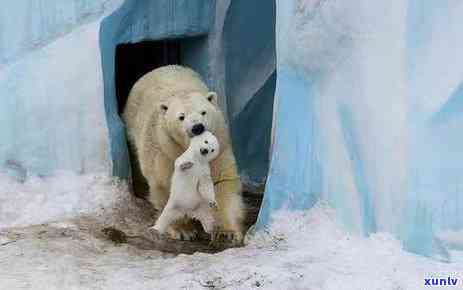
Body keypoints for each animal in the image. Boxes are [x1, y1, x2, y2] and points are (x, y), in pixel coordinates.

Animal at [123, 65, 246, 242]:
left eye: (203, 112)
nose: (197, 127)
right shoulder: (166, 152)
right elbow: (166, 186)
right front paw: (183, 230)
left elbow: (221, 182)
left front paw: (227, 233)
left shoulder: (219, 148)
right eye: (181, 117)